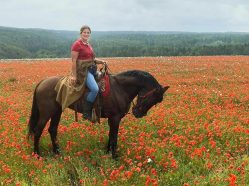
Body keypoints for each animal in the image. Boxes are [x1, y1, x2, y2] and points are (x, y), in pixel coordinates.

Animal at [27, 70, 169, 158]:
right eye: (152, 98)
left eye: (157, 102)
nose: (138, 113)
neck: (120, 88)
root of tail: (42, 82)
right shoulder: (115, 118)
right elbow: (114, 137)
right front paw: (114, 157)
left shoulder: (112, 118)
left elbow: (111, 135)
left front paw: (108, 153)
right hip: (46, 113)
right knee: (38, 131)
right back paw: (37, 154)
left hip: (57, 112)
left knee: (52, 130)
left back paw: (57, 153)